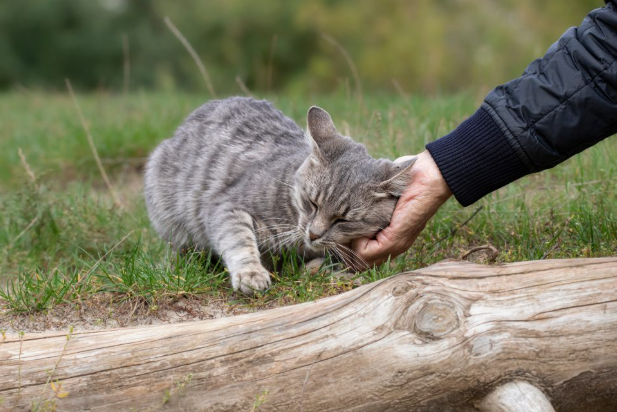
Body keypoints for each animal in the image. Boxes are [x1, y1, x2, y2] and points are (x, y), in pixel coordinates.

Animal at [143, 98, 414, 294]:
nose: (313, 234)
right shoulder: (227, 205)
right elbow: (239, 239)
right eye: (312, 203)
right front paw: (251, 273)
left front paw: (326, 269)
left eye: (343, 220)